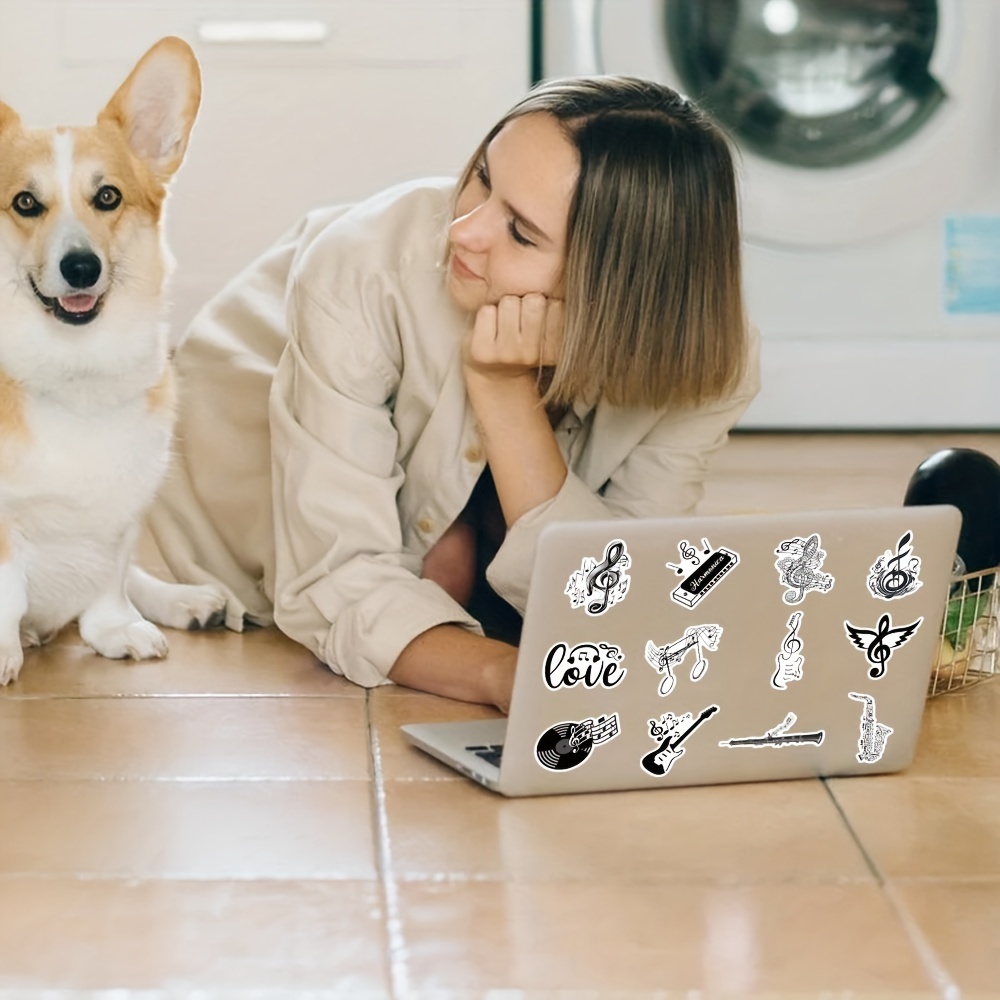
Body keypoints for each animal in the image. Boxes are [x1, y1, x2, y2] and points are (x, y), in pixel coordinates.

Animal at [0, 35, 226, 684]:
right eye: (25, 203)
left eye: (107, 197)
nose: (81, 267)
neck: (77, 373)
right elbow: (8, 593)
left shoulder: (125, 507)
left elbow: (112, 577)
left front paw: (116, 629)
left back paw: (184, 600)